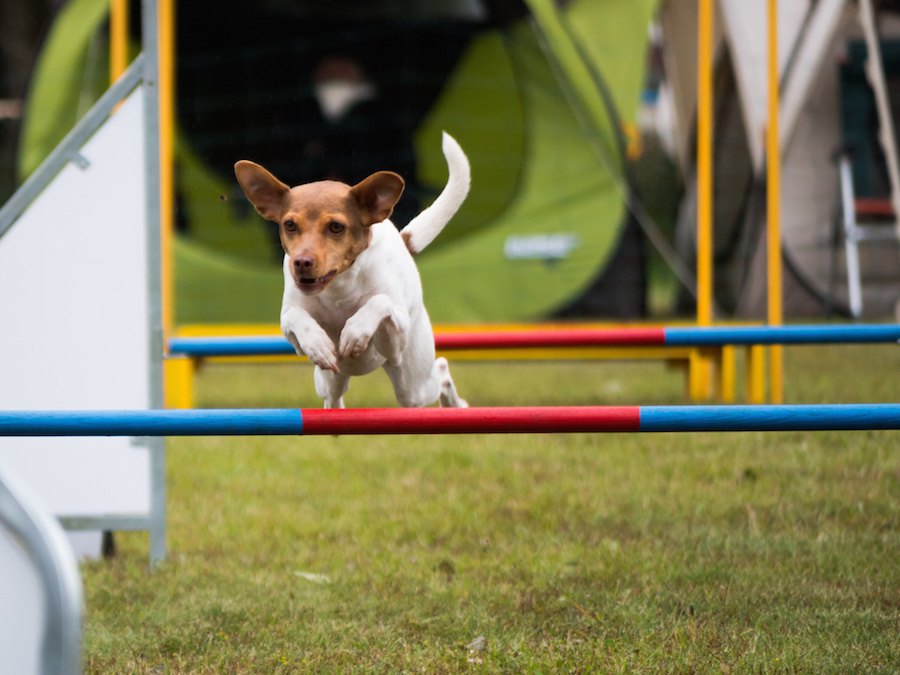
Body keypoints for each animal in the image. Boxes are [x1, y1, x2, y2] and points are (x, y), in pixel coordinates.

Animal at [232, 129, 472, 410]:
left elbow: (379, 302)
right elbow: (295, 317)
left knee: (440, 371)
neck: (338, 287)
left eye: (336, 227)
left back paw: (457, 406)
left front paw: (354, 332)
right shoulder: (291, 328)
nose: (301, 262)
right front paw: (318, 344)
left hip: (413, 383)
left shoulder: (395, 342)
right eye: (289, 224)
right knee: (333, 398)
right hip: (329, 379)